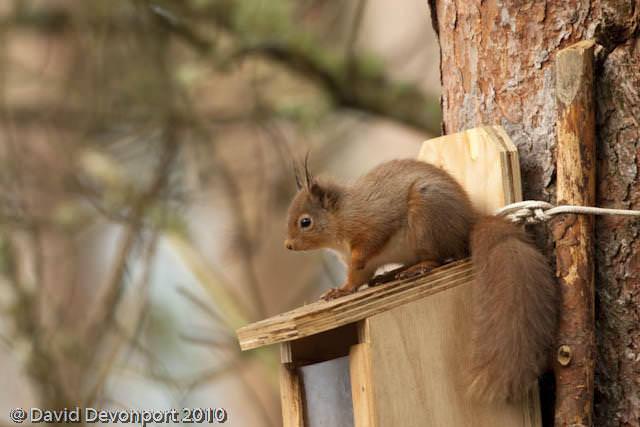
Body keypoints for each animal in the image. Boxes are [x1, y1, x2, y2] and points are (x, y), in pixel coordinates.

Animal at [284, 158, 559, 402]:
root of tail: (468, 224)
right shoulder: (360, 266)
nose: (288, 245)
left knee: (440, 257)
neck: (341, 218)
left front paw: (349, 275)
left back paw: (417, 268)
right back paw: (391, 273)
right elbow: (356, 278)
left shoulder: (375, 220)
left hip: (427, 221)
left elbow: (371, 243)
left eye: (305, 222)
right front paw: (340, 291)